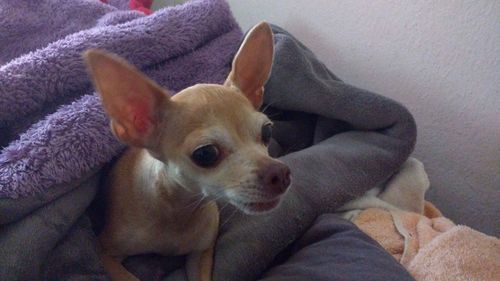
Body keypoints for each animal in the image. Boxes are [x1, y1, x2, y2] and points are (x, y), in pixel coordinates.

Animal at [83, 21, 292, 280]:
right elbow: (127, 277)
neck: (178, 212)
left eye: (267, 133)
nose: (280, 174)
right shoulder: (106, 254)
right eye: (205, 154)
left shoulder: (200, 254)